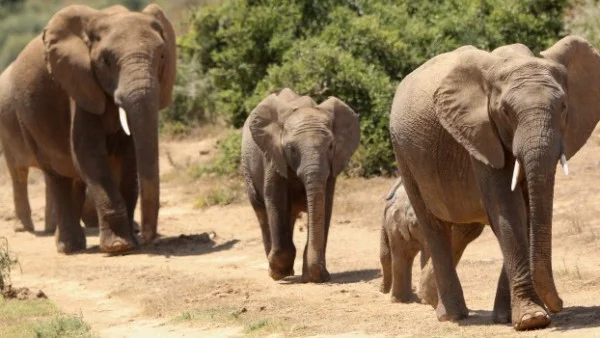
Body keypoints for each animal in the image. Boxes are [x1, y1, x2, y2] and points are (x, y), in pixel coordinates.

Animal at [5, 3, 176, 254]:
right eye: (106, 61)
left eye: (162, 56)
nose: (148, 238)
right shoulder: (80, 84)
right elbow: (88, 154)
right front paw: (118, 247)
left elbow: (128, 156)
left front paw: (130, 242)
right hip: (26, 122)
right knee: (56, 175)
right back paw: (69, 248)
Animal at [241, 88, 358, 282]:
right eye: (291, 149)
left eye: (331, 146)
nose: (322, 276)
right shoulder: (273, 155)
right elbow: (275, 201)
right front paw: (277, 273)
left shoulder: (332, 165)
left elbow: (325, 204)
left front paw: (314, 277)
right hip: (247, 169)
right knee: (262, 212)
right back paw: (276, 270)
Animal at [386, 35, 600, 330]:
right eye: (506, 112)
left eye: (564, 107)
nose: (560, 304)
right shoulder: (478, 132)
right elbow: (508, 208)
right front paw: (532, 319)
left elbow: (525, 211)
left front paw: (511, 318)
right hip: (404, 154)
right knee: (433, 226)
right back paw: (452, 315)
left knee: (463, 229)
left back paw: (433, 298)